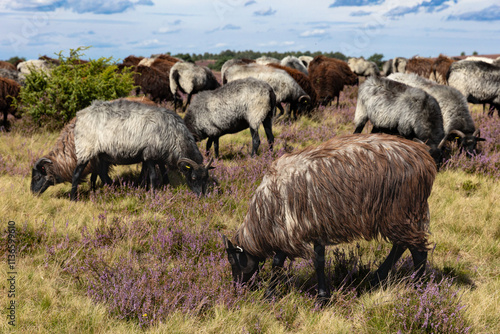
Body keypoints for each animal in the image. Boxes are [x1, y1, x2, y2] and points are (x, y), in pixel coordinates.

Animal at [69, 98, 214, 200]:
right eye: (194, 177)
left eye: (206, 178)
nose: (202, 196)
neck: (175, 134)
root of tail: (80, 114)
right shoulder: (149, 154)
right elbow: (153, 176)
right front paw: (153, 194)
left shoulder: (159, 154)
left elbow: (163, 172)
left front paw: (165, 188)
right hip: (85, 148)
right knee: (77, 173)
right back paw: (73, 198)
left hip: (103, 153)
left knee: (102, 173)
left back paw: (114, 190)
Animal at [224, 134, 438, 302]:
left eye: (233, 261)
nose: (237, 289)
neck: (264, 216)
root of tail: (424, 157)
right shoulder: (310, 227)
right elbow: (317, 261)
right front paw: (322, 296)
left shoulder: (290, 229)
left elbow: (279, 262)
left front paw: (270, 295)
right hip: (399, 214)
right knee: (402, 245)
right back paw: (377, 278)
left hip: (401, 210)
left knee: (417, 250)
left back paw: (418, 288)